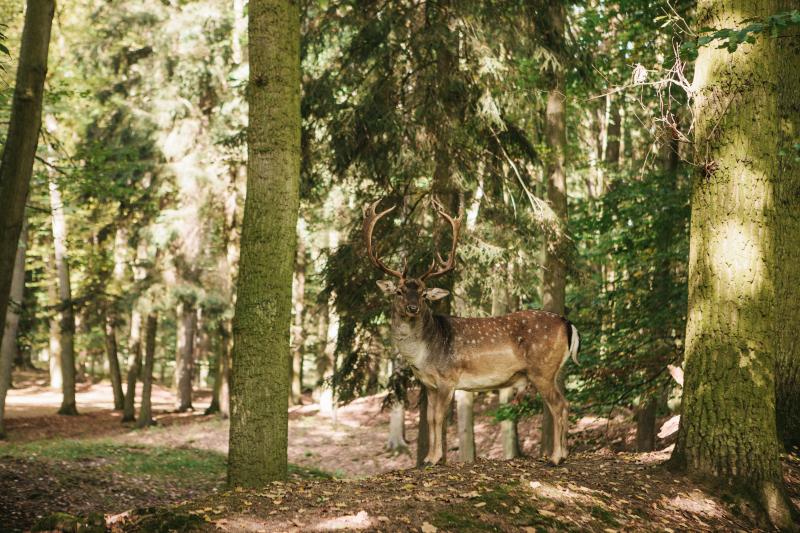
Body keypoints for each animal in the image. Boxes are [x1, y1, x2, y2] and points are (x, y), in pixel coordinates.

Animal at [364, 200, 580, 466]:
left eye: (424, 293)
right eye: (399, 292)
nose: (413, 308)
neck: (422, 355)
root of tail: (567, 323)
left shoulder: (448, 378)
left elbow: (438, 418)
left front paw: (435, 459)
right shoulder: (428, 385)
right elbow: (429, 419)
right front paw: (427, 458)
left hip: (542, 370)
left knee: (558, 406)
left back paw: (555, 457)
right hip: (553, 370)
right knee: (567, 403)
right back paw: (565, 453)